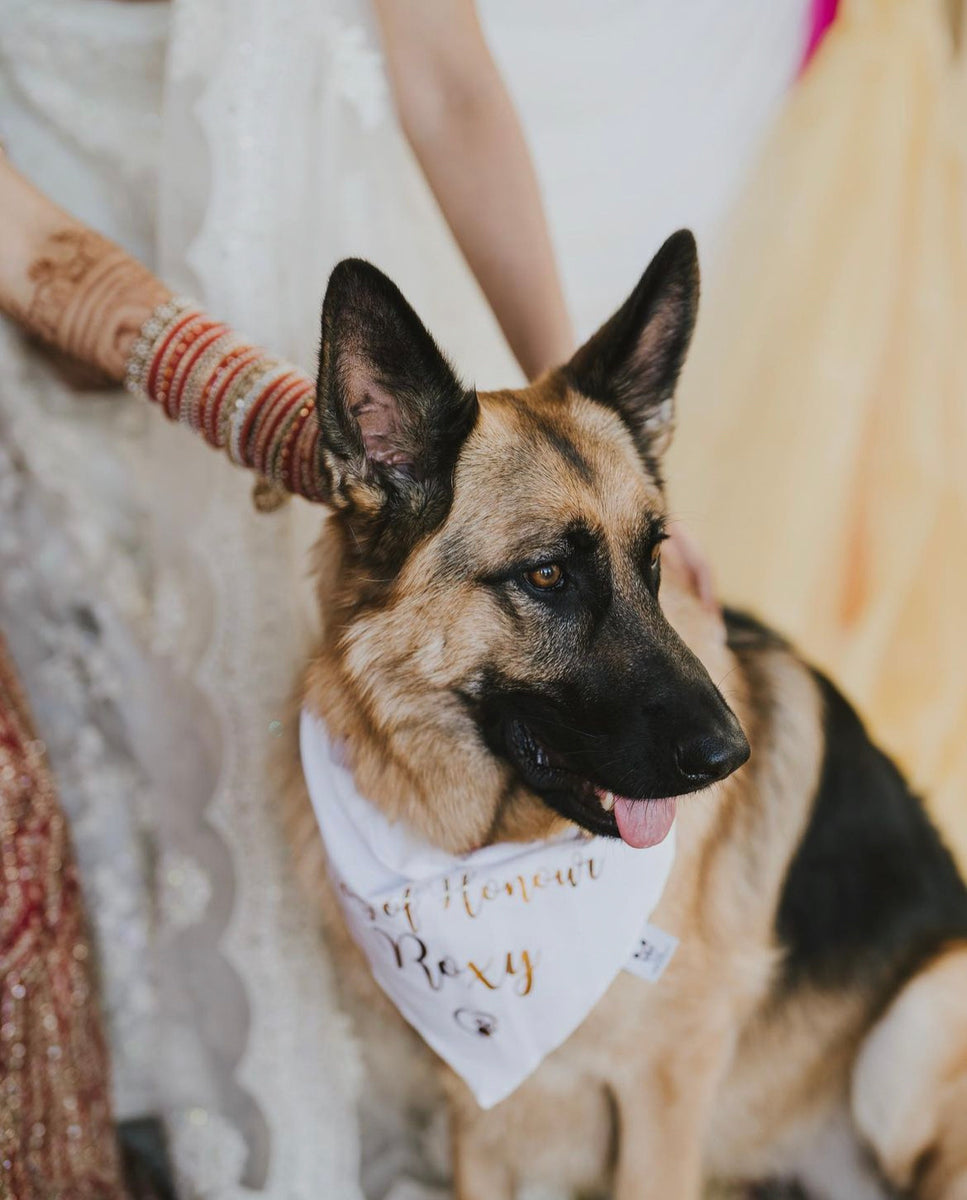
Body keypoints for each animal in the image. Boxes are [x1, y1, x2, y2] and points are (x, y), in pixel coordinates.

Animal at [285, 229, 967, 1195]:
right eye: (546, 575)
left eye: (653, 561)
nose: (730, 756)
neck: (491, 857)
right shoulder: (480, 1122)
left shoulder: (661, 1099)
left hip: (913, 1033)